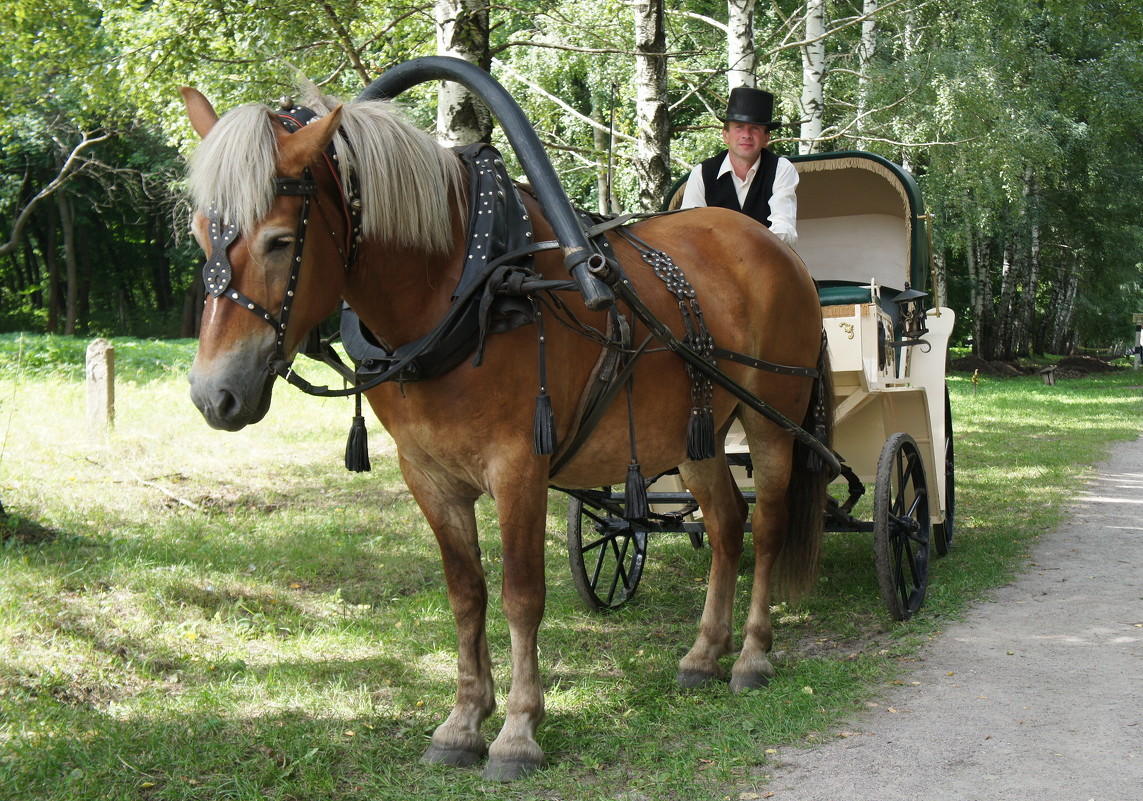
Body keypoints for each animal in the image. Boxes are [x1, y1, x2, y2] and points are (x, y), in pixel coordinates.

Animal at [182, 84, 836, 777]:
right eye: (200, 232)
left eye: (280, 240)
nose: (213, 394)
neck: (465, 291)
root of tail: (777, 249)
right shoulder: (428, 476)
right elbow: (466, 593)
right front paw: (463, 721)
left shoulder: (519, 467)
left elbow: (522, 595)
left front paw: (519, 730)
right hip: (697, 433)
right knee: (726, 524)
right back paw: (704, 653)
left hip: (772, 420)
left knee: (766, 526)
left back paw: (752, 655)